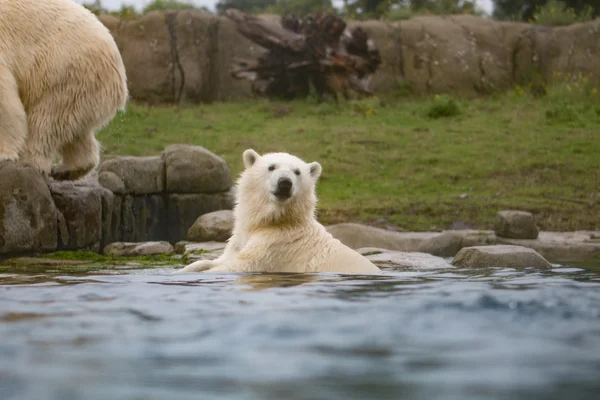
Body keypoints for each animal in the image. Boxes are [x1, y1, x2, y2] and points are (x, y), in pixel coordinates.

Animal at [178, 150, 380, 276]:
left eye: (297, 172)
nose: (284, 183)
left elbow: (237, 265)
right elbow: (217, 261)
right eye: (271, 167)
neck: (274, 222)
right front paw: (183, 270)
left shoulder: (276, 248)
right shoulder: (240, 241)